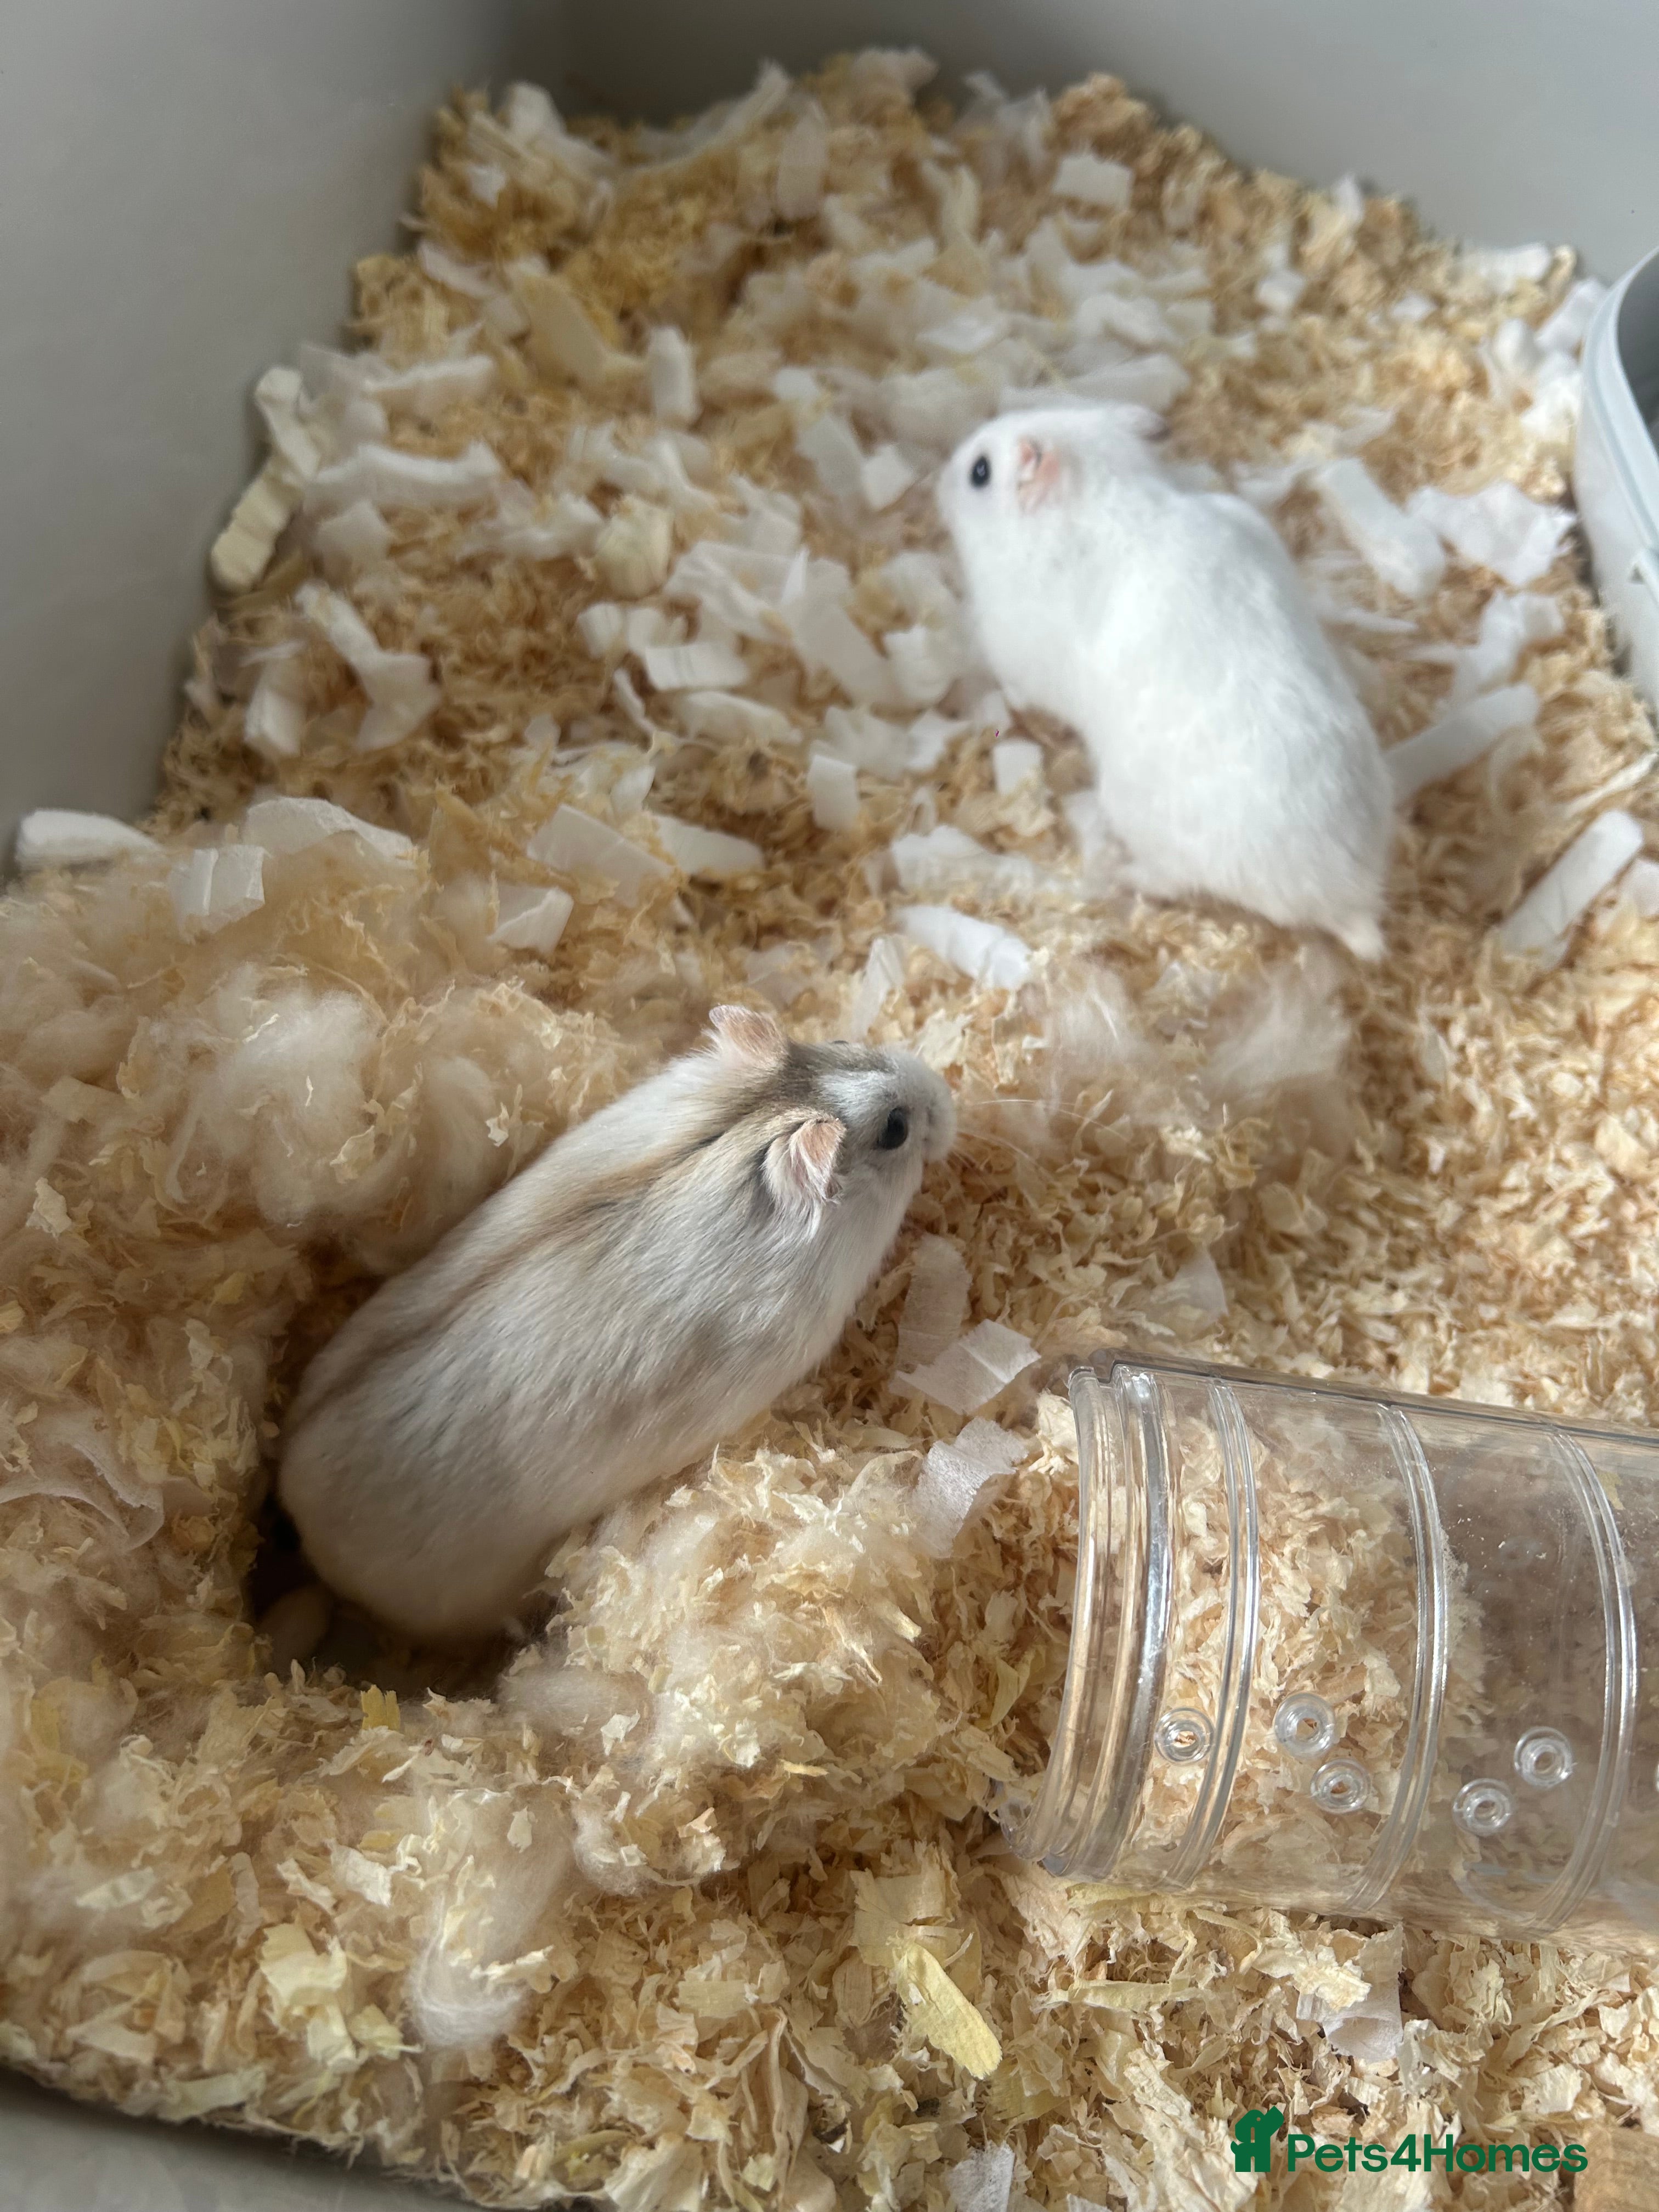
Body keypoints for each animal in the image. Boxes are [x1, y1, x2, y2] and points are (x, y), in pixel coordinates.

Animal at [938, 403, 1393, 959]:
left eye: (979, 472)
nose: (939, 483)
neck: (1110, 494)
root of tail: (1345, 897)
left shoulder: (1018, 650)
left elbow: (1018, 688)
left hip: (1142, 821)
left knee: (1171, 881)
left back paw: (1122, 873)